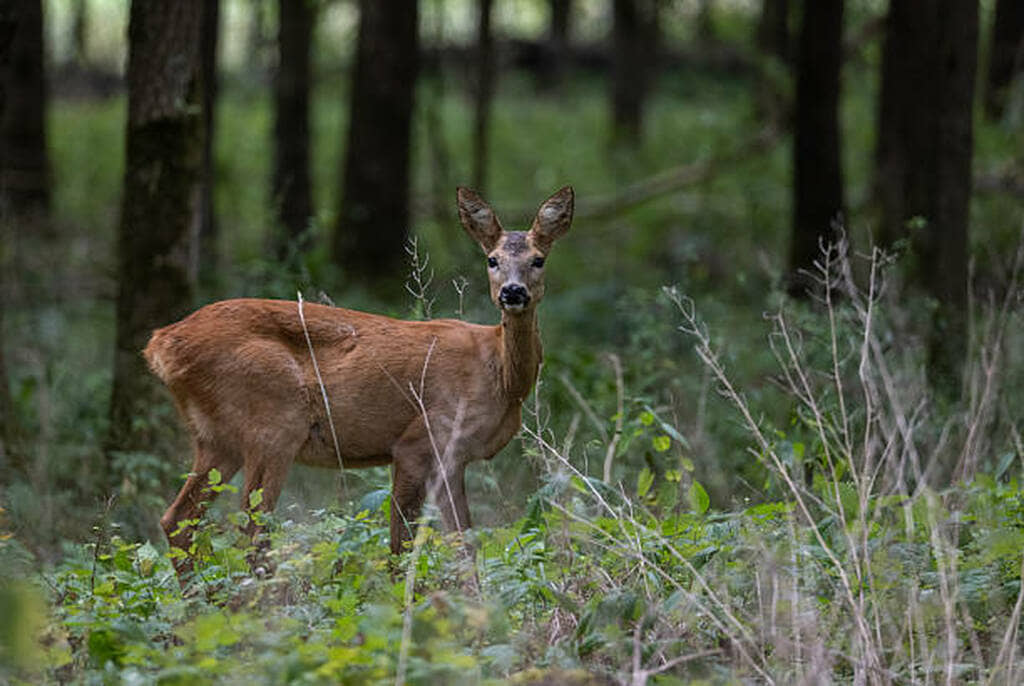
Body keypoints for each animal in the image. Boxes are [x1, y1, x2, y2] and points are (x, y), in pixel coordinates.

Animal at [144, 186, 574, 576]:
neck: (499, 375)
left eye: (538, 260)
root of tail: (160, 344)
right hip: (274, 421)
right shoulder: (418, 440)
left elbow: (464, 544)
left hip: (217, 438)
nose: (513, 292)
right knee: (252, 528)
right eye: (492, 259)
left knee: (177, 519)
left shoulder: (453, 458)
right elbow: (401, 547)